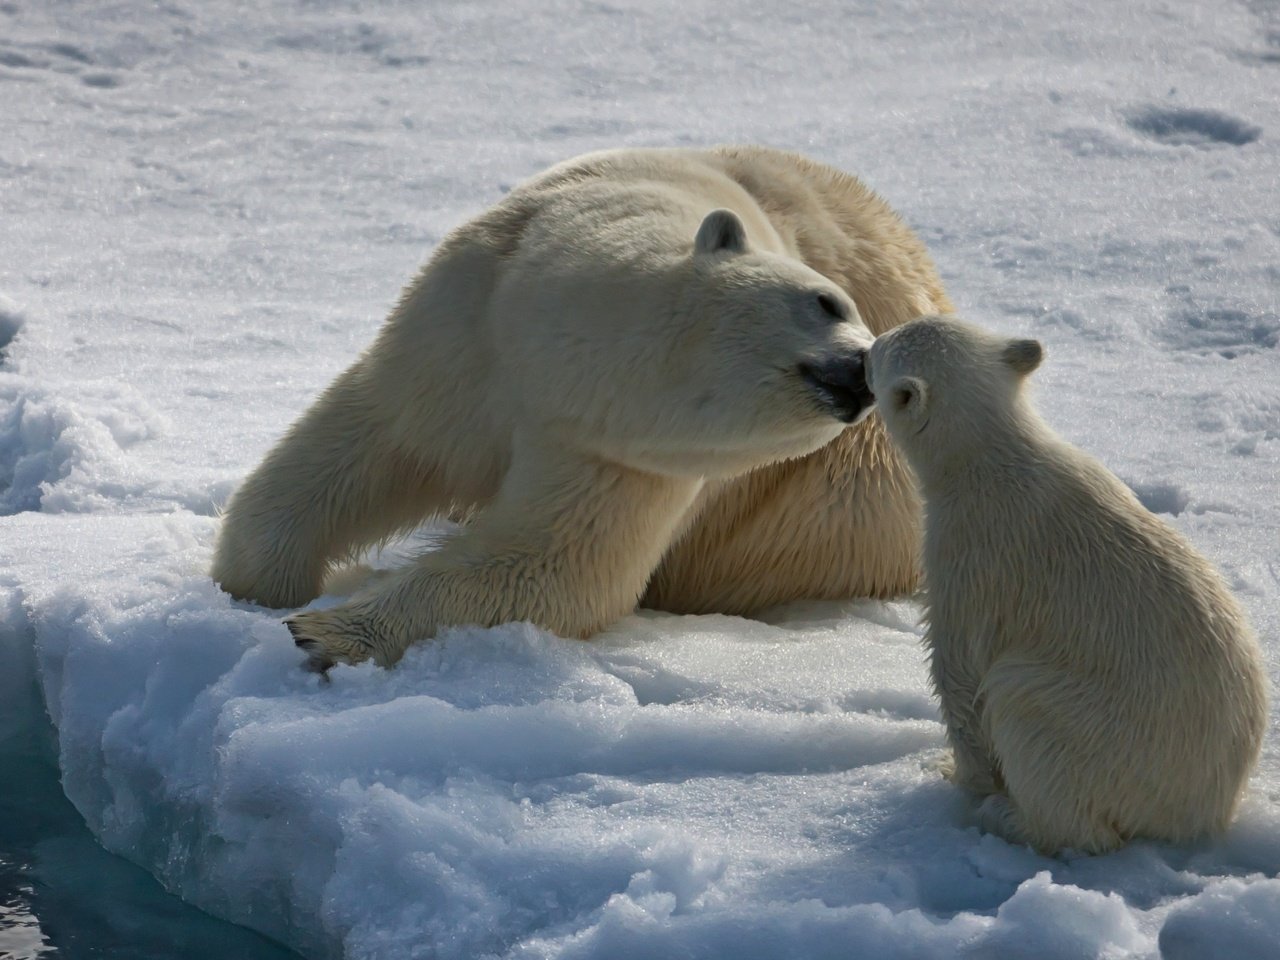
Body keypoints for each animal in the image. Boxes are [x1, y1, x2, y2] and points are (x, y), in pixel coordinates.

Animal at [212, 146, 952, 670]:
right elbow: (372, 443)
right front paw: (253, 590)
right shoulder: (468, 330)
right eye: (826, 301)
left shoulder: (620, 456)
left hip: (846, 509)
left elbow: (553, 567)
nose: (864, 374)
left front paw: (324, 631)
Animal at [865, 317, 1264, 855]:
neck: (991, 458)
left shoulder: (968, 554)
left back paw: (1008, 816)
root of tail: (1201, 816)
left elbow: (961, 670)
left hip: (1101, 735)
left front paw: (961, 775)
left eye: (884, 347)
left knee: (1025, 708)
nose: (862, 349)